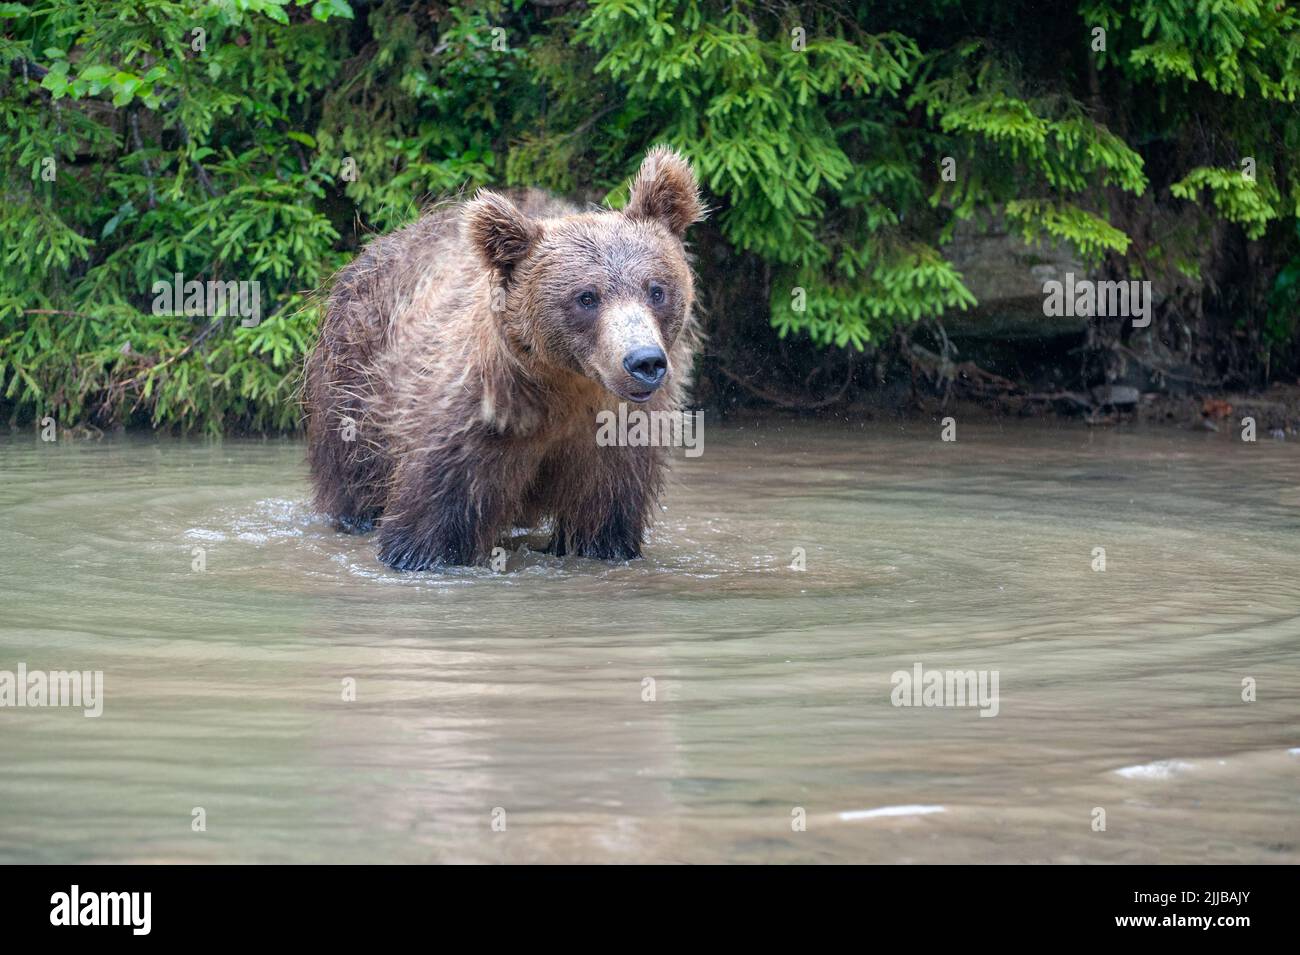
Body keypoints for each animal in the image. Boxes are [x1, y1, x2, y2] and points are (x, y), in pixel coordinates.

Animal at [302, 146, 707, 570]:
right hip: (356, 382)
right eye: (587, 297)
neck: (564, 385)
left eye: (656, 290)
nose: (644, 362)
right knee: (354, 480)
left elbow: (603, 524)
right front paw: (415, 551)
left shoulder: (615, 442)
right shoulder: (470, 424)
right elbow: (431, 524)